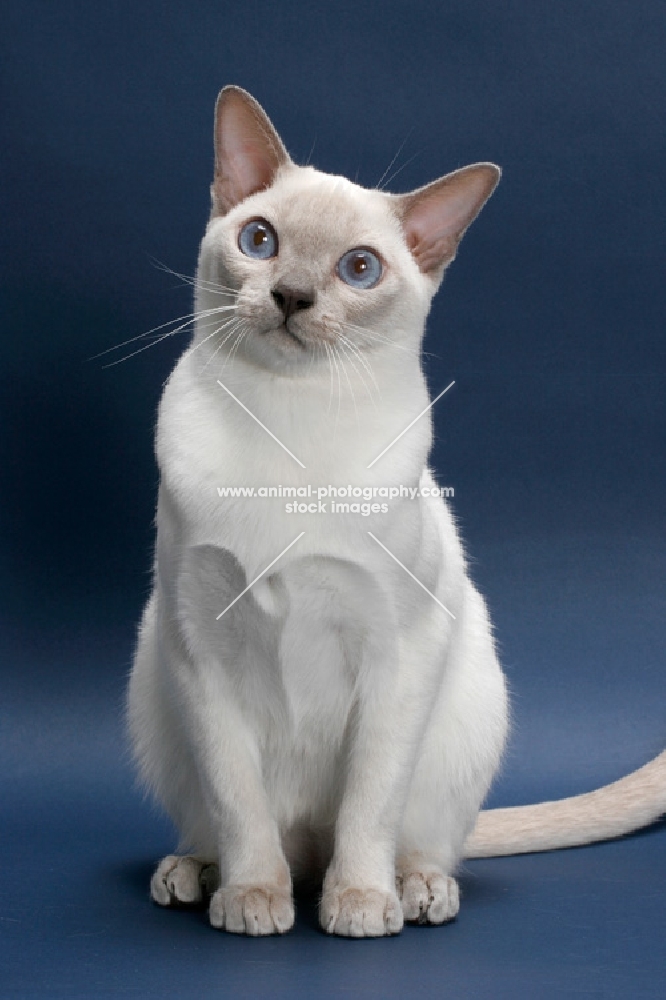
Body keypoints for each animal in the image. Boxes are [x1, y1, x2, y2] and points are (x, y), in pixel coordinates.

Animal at [126, 86, 664, 936]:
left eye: (359, 269)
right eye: (259, 240)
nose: (291, 296)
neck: (289, 423)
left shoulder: (399, 651)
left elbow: (369, 804)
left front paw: (359, 905)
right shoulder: (199, 648)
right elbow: (240, 804)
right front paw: (252, 899)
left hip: (464, 688)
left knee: (414, 841)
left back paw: (412, 892)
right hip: (155, 679)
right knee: (244, 832)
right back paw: (197, 877)